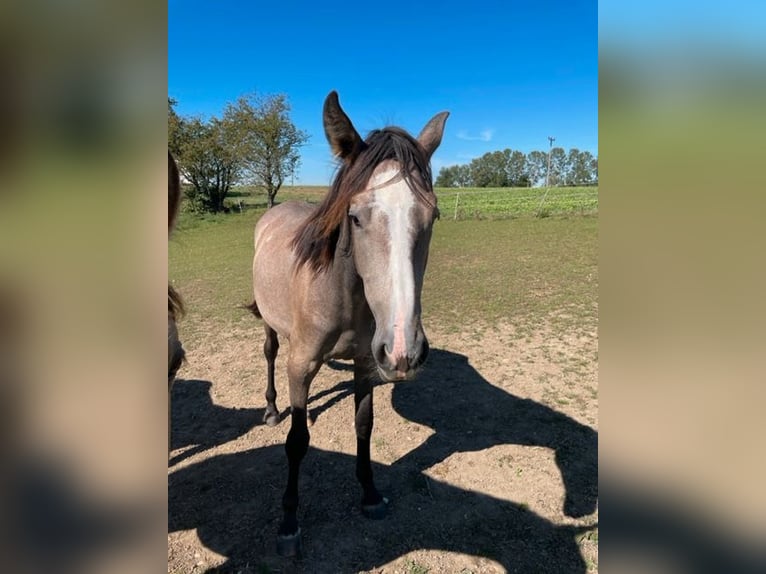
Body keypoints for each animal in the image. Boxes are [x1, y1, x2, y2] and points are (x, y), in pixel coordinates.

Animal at [249, 91, 448, 560]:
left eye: (432, 216)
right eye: (355, 217)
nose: (404, 350)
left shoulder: (365, 362)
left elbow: (364, 424)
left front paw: (370, 495)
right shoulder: (301, 363)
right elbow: (297, 442)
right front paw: (289, 522)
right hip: (270, 328)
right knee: (270, 355)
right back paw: (272, 409)